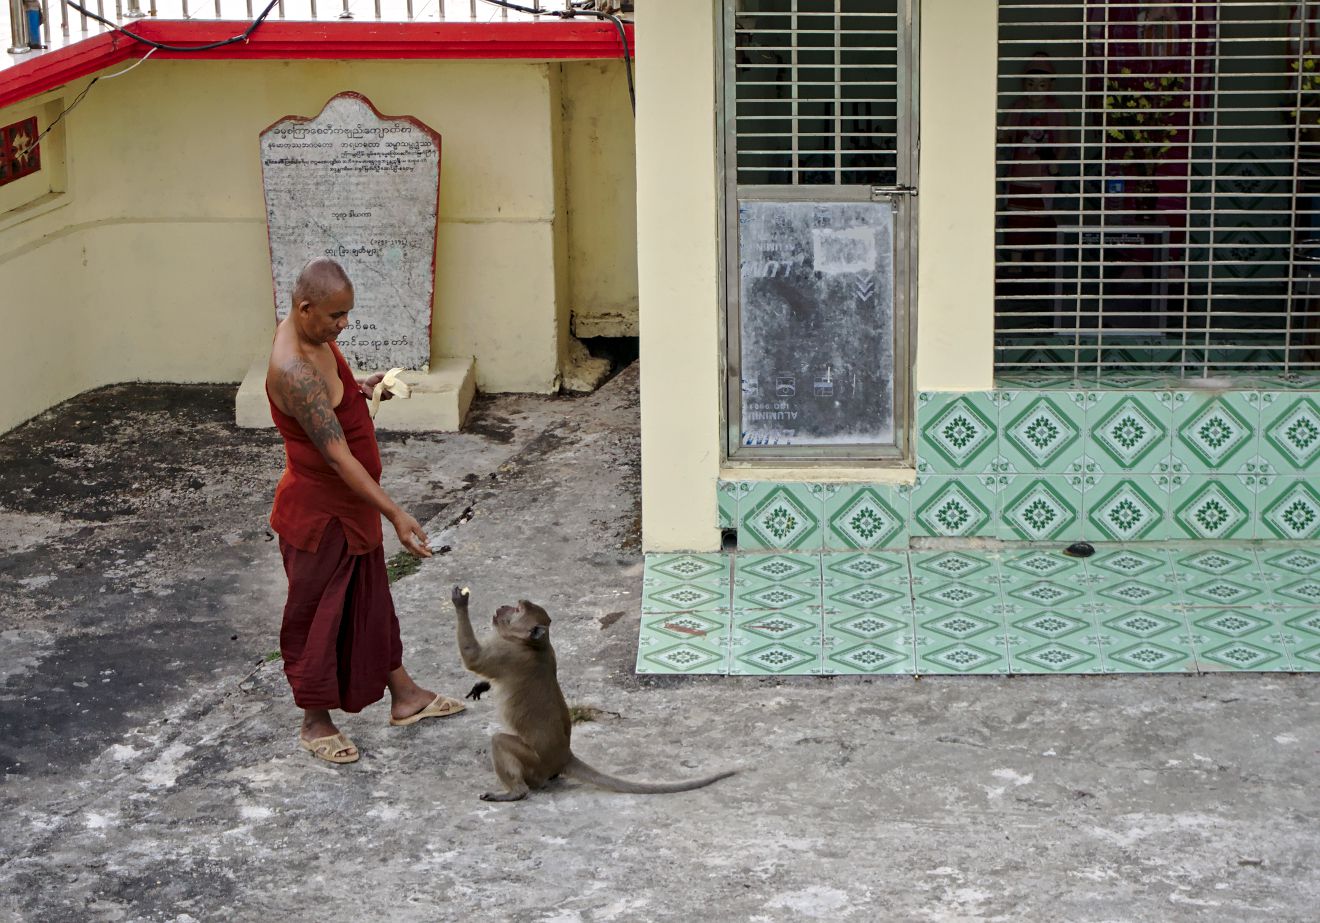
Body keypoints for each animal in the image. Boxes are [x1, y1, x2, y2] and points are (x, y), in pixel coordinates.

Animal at [448, 591, 739, 802]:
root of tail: (564, 755)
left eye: (517, 610)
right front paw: (481, 686)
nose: (502, 607)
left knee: (500, 741)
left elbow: (473, 656)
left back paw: (516, 792)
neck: (535, 644)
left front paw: (460, 602)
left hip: (535, 762)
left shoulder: (507, 653)